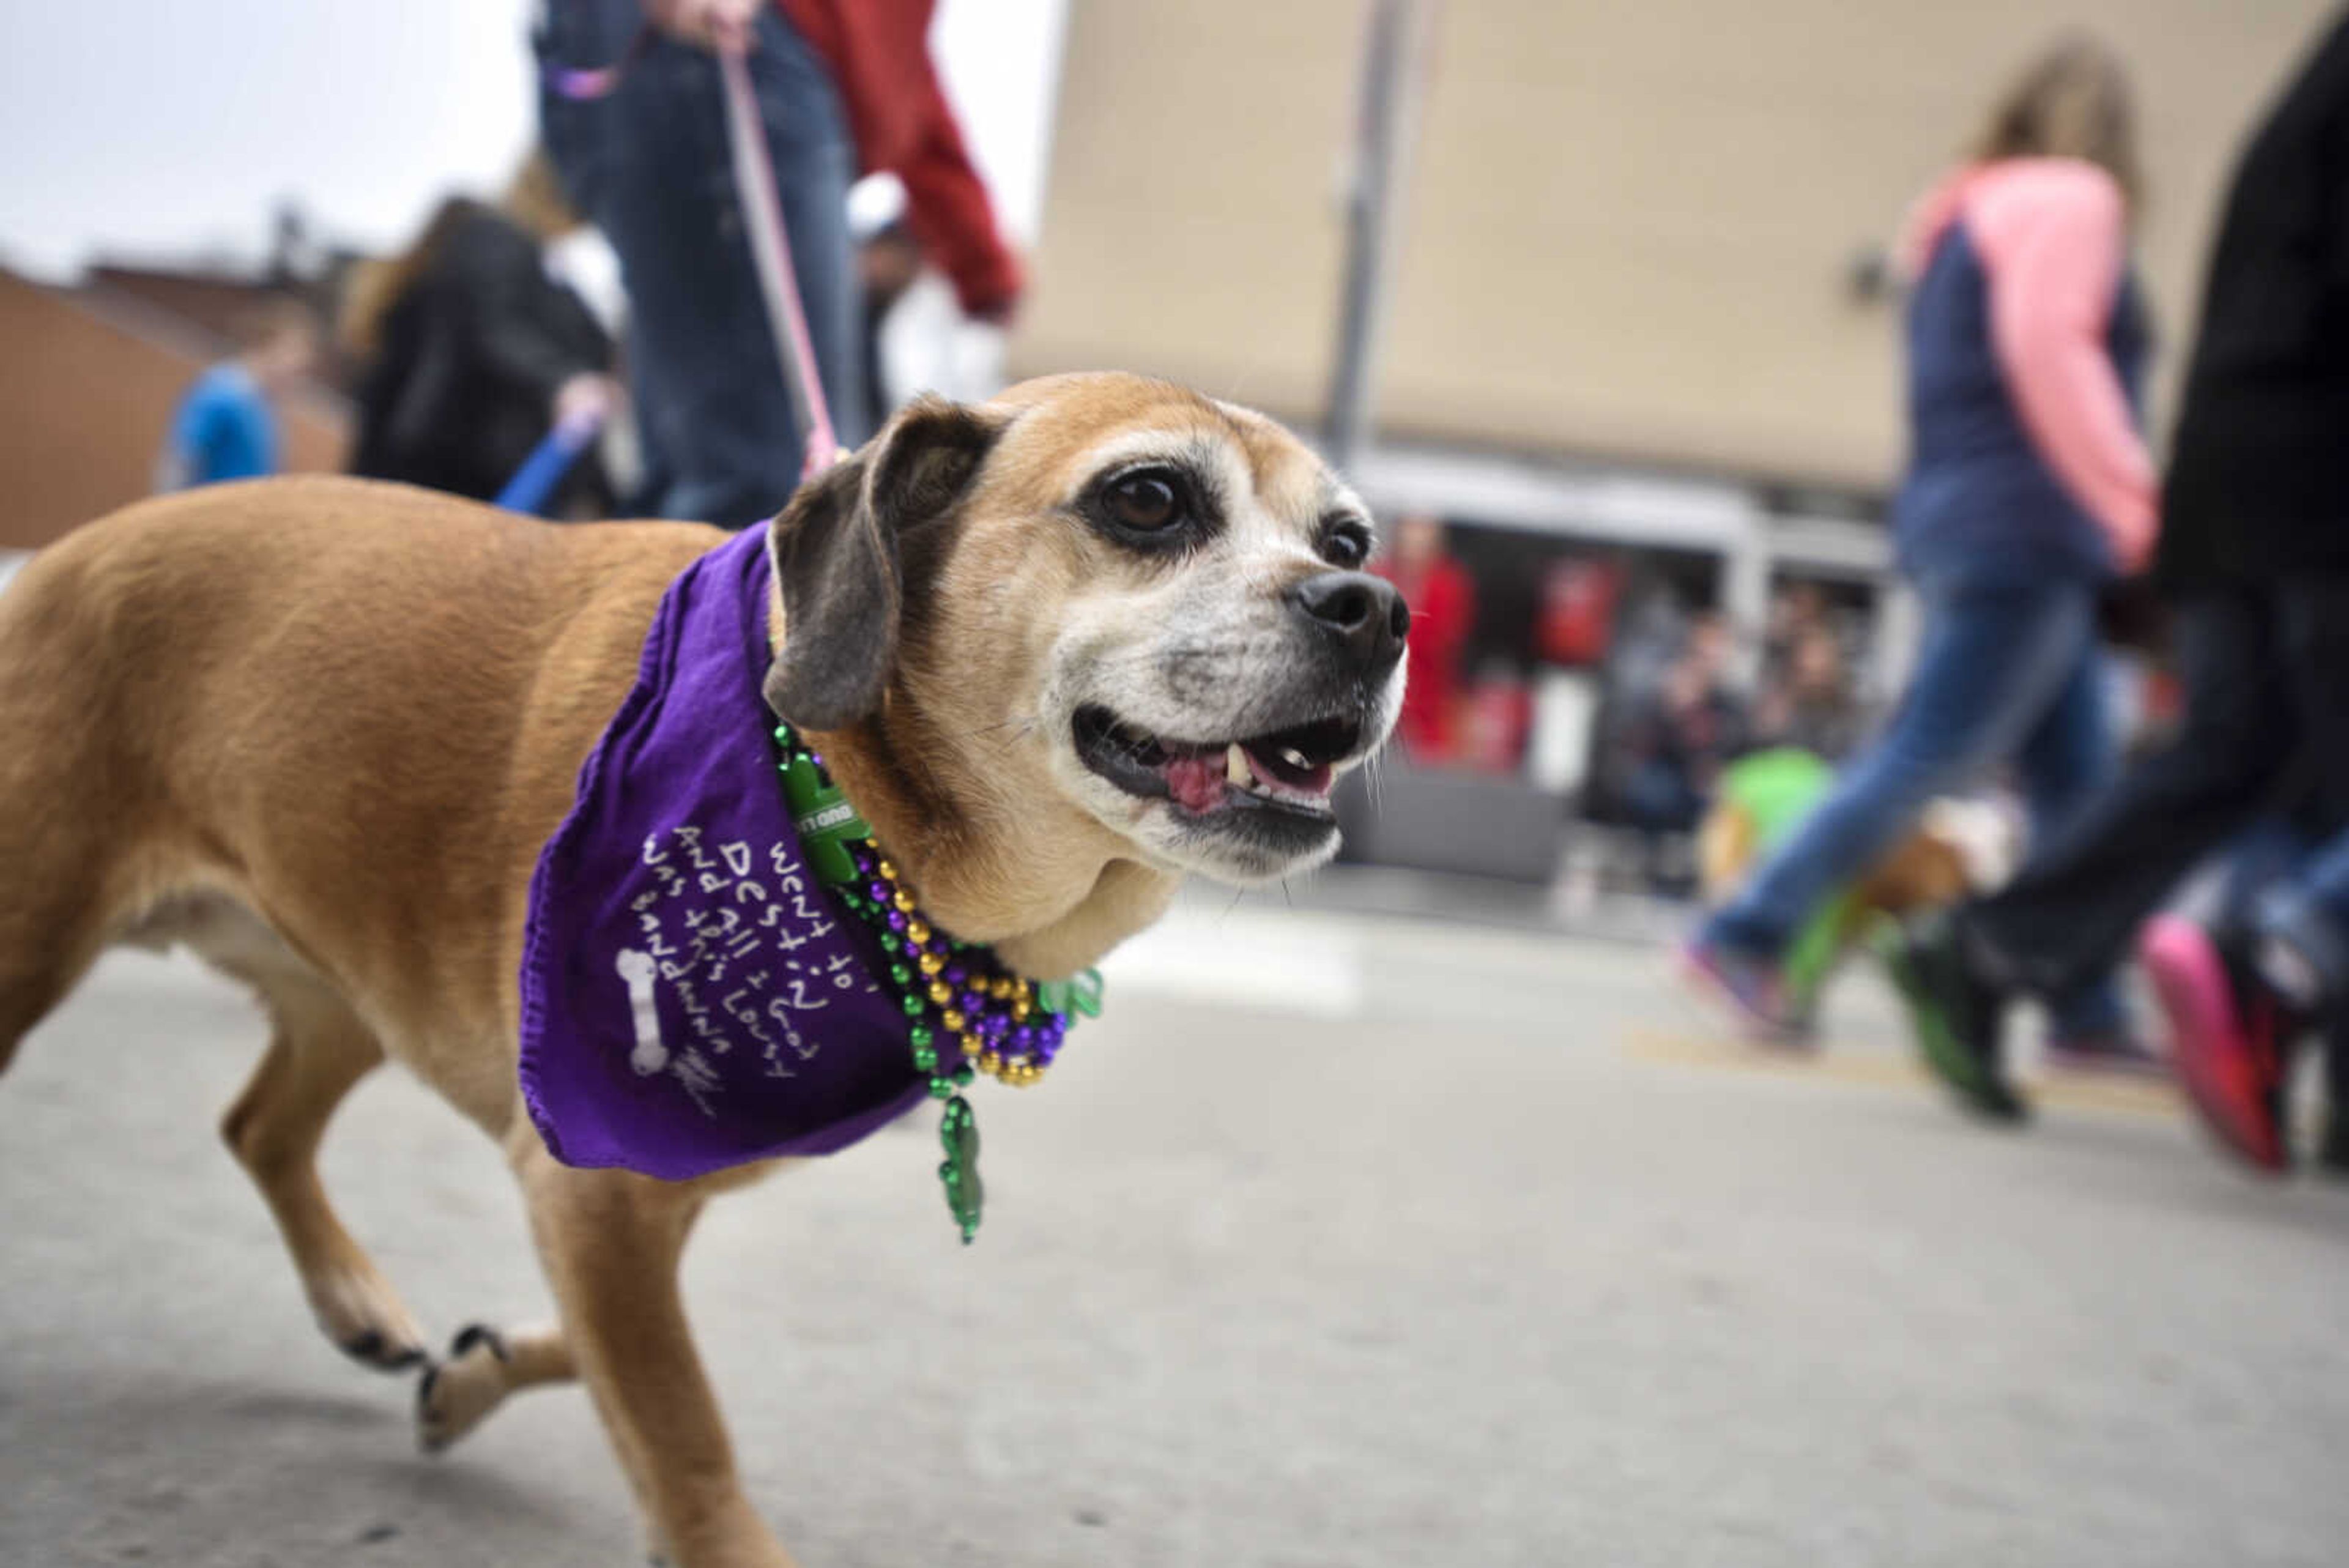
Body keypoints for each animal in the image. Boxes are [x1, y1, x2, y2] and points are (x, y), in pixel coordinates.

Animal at [0, 373, 1400, 1561]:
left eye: (1346, 542)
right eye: (1147, 498)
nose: (1379, 612)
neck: (839, 789)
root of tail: (60, 555)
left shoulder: (612, 1192)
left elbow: (604, 1356)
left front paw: (475, 1374)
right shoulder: (598, 1188)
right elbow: (683, 1431)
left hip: (351, 972)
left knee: (259, 1125)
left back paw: (359, 1300)